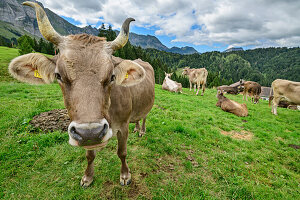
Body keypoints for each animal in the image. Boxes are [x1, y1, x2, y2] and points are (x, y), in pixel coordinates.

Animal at [8, 1, 156, 187]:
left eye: (112, 76)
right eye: (59, 76)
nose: (90, 132)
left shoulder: (122, 127)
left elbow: (122, 152)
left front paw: (125, 175)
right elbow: (89, 155)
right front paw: (87, 177)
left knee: (144, 117)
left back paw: (141, 130)